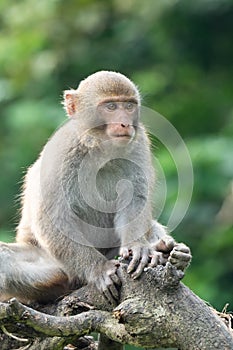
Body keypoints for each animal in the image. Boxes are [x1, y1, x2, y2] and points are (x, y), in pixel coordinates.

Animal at [0, 71, 191, 304]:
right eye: (110, 107)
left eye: (129, 106)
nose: (125, 124)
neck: (99, 149)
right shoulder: (62, 153)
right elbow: (52, 217)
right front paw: (99, 269)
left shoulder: (139, 143)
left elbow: (136, 199)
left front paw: (138, 247)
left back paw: (165, 251)